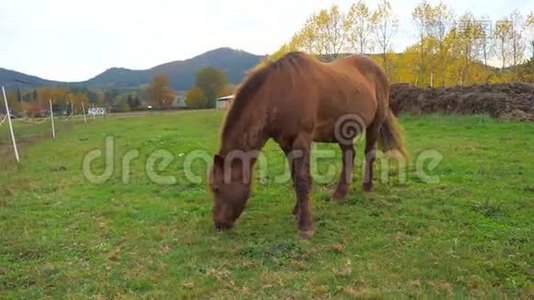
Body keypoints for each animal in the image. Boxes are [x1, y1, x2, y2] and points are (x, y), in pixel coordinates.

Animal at [209, 52, 406, 239]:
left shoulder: (302, 140)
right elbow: (295, 177)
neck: (279, 92)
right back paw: (339, 194)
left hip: (375, 123)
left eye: (216, 188)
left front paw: (306, 226)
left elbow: (303, 180)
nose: (219, 224)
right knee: (349, 156)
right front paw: (297, 211)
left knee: (369, 152)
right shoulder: (286, 144)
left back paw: (367, 187)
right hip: (344, 132)